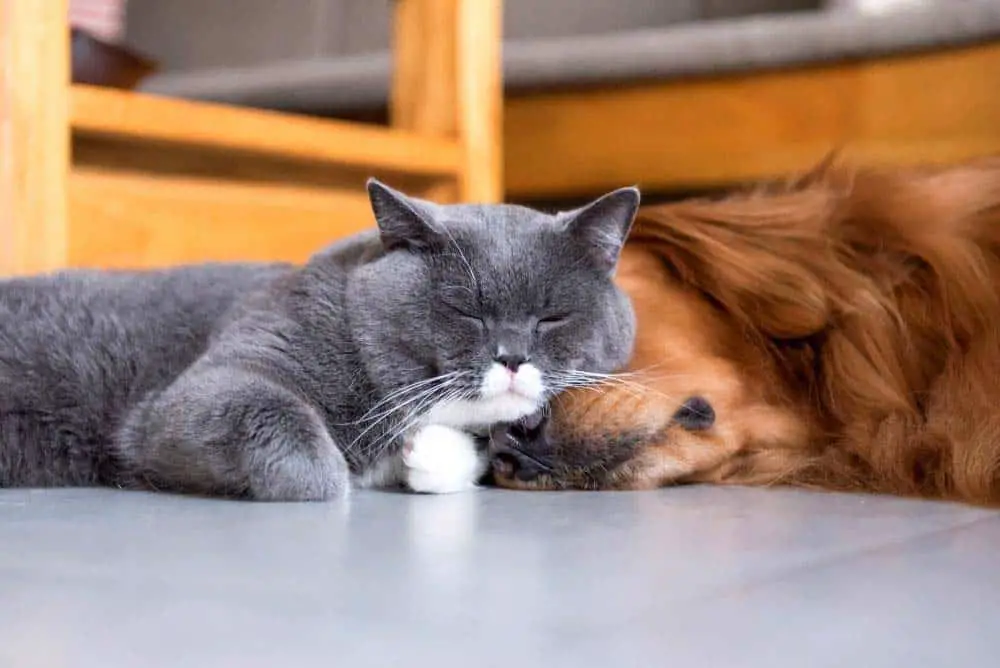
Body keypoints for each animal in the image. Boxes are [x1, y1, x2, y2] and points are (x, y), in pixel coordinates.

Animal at [0, 180, 640, 498]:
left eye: (551, 317)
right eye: (466, 311)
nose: (512, 356)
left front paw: (430, 454)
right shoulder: (212, 381)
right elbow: (284, 426)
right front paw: (333, 474)